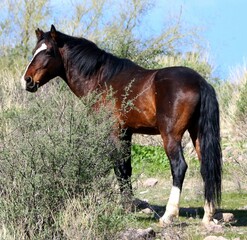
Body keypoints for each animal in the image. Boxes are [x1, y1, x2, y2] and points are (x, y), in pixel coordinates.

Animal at [21, 24, 222, 225]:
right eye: (34, 51)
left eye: (48, 51)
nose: (27, 80)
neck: (102, 79)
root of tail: (200, 82)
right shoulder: (126, 133)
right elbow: (127, 167)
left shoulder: (114, 132)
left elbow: (120, 168)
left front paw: (126, 207)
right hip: (197, 135)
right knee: (206, 168)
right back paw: (208, 215)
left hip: (171, 136)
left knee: (179, 167)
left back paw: (169, 214)